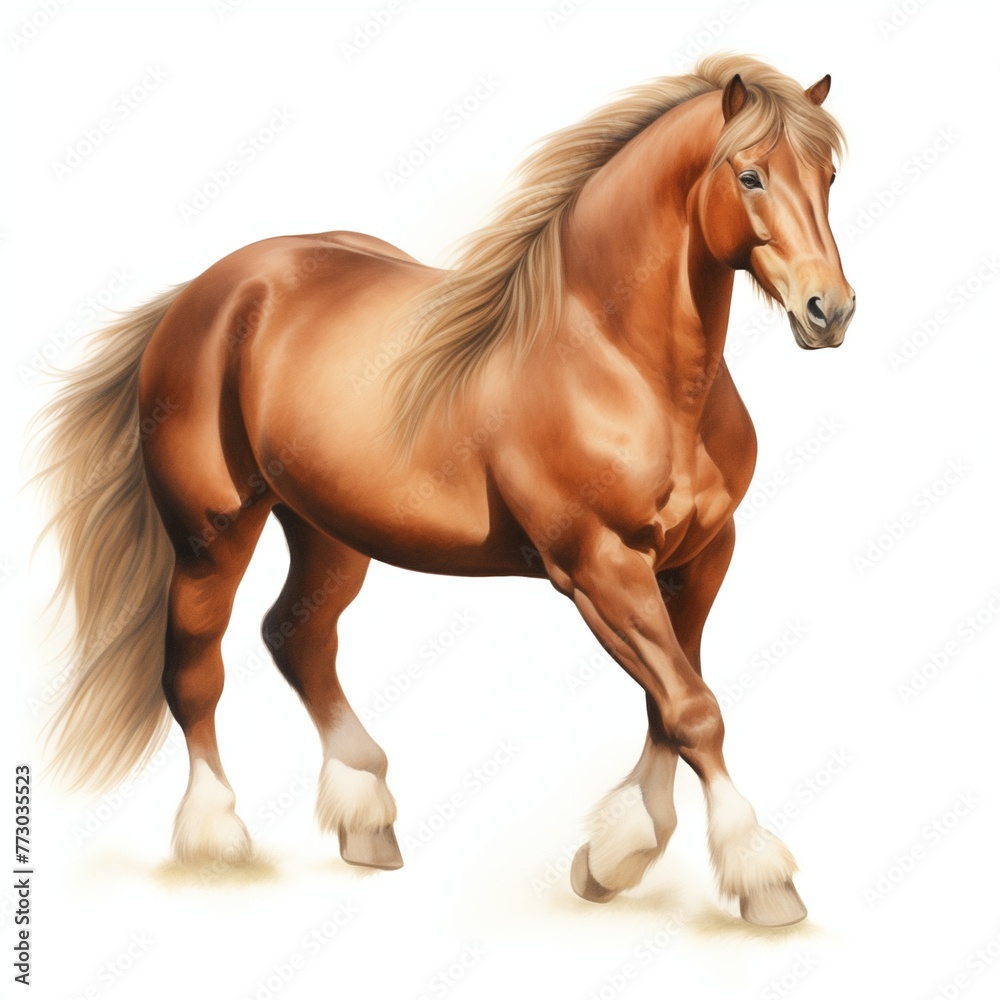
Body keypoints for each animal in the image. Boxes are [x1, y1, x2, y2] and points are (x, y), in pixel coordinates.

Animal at [37, 54, 854, 928]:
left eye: (829, 176)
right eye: (750, 175)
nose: (830, 310)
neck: (617, 360)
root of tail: (206, 291)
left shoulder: (699, 558)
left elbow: (669, 705)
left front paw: (613, 858)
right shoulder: (599, 567)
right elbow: (694, 709)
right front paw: (761, 877)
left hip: (329, 530)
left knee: (296, 636)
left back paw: (365, 819)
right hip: (211, 532)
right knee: (195, 666)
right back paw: (216, 838)